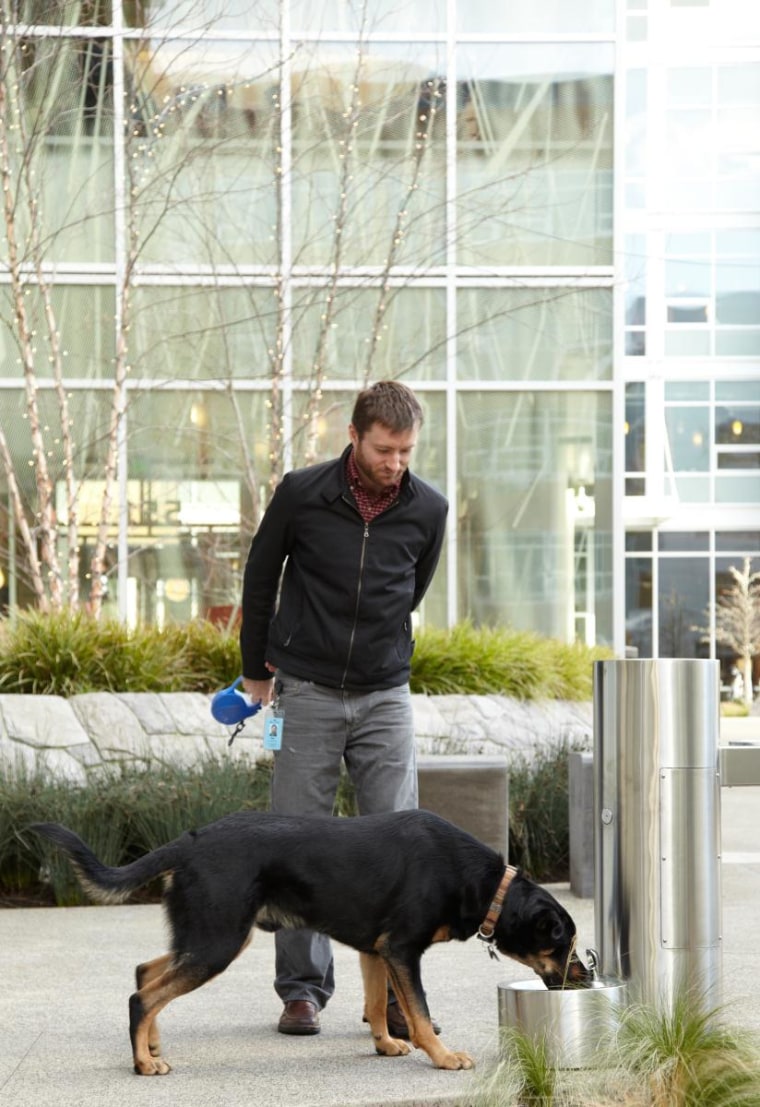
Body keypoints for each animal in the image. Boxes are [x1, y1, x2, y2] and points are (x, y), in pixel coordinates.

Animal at [31, 810, 592, 1076]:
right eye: (564, 944)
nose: (588, 979)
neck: (487, 885)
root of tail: (189, 841)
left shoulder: (375, 950)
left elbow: (376, 1003)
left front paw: (385, 1045)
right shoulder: (402, 950)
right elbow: (418, 1010)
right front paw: (442, 1056)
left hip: (208, 933)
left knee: (146, 972)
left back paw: (151, 1046)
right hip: (218, 941)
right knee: (142, 995)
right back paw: (143, 1064)